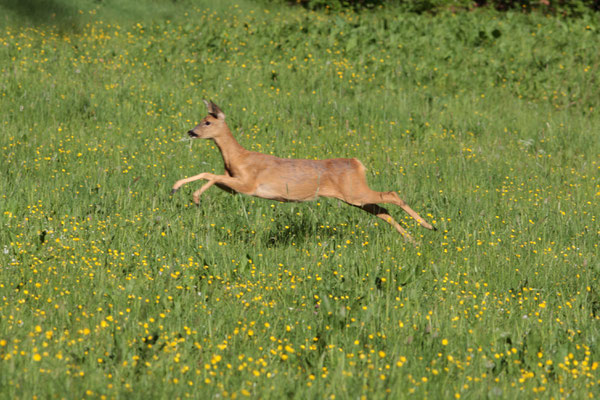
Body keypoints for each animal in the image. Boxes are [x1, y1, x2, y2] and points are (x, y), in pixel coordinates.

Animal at [171, 100, 438, 244]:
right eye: (201, 119)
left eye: (207, 122)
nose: (190, 132)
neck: (237, 159)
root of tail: (357, 163)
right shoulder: (233, 186)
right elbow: (210, 175)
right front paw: (178, 188)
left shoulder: (249, 184)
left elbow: (210, 174)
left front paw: (193, 196)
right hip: (353, 197)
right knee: (383, 211)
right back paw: (413, 239)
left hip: (355, 193)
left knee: (391, 195)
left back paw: (428, 226)